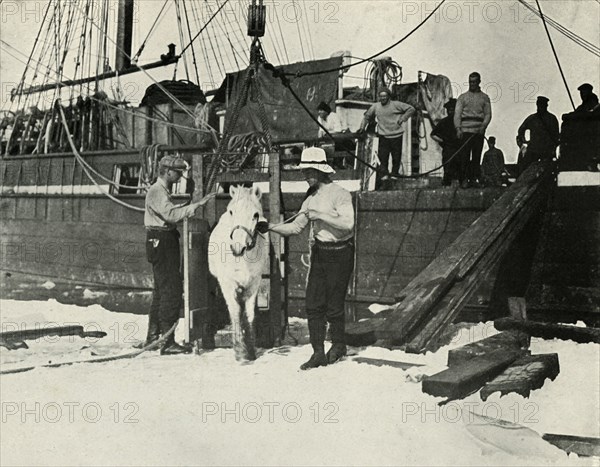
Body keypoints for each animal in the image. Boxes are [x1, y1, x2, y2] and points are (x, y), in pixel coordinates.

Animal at [209, 185, 270, 360]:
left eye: (255, 215)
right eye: (231, 211)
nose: (237, 248)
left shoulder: (254, 283)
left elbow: (249, 313)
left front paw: (250, 348)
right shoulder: (227, 284)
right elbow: (235, 311)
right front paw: (239, 349)